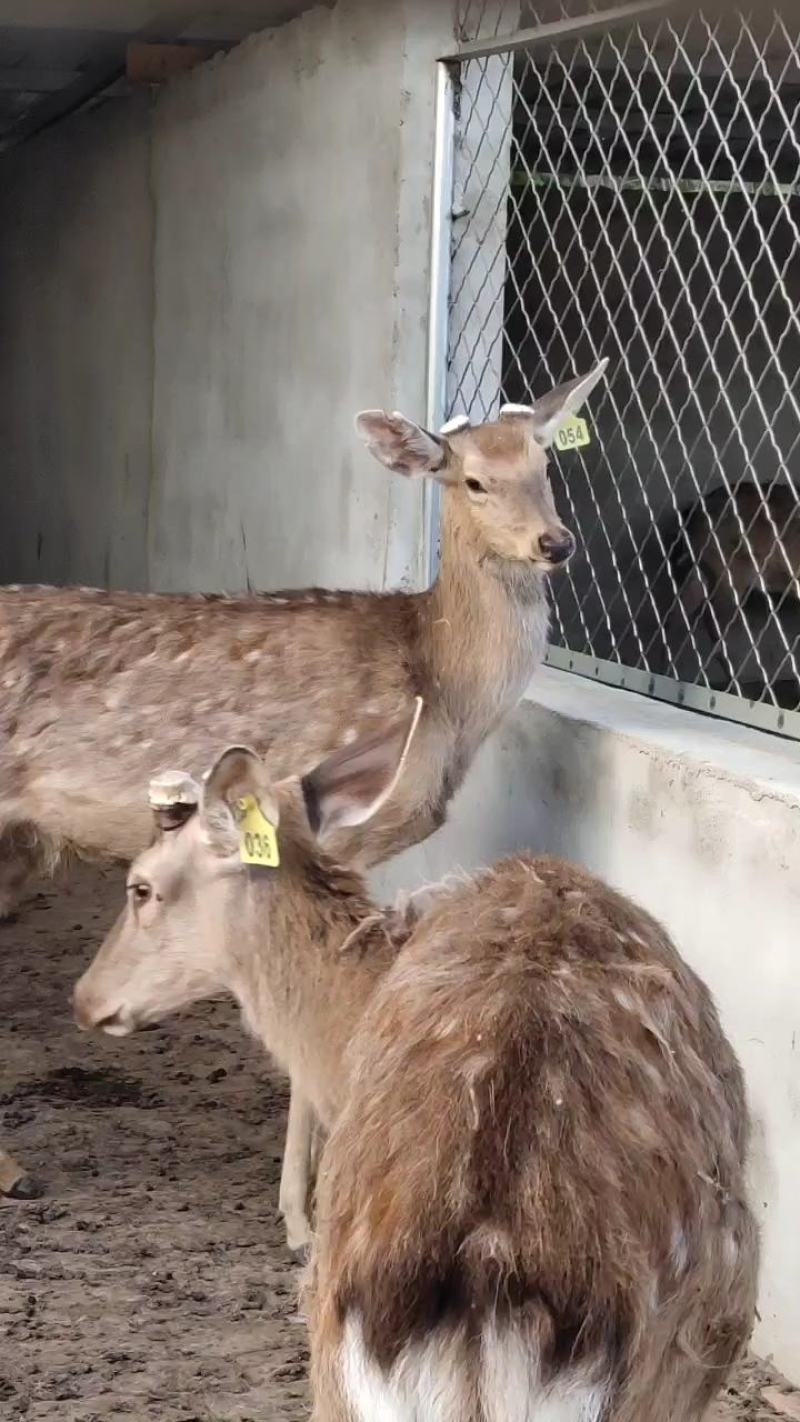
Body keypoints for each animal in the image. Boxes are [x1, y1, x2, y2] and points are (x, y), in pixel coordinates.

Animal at [0, 361, 607, 1210]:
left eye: (544, 465)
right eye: (473, 480)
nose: (554, 542)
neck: (443, 697)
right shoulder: (330, 826)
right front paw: (298, 1202)